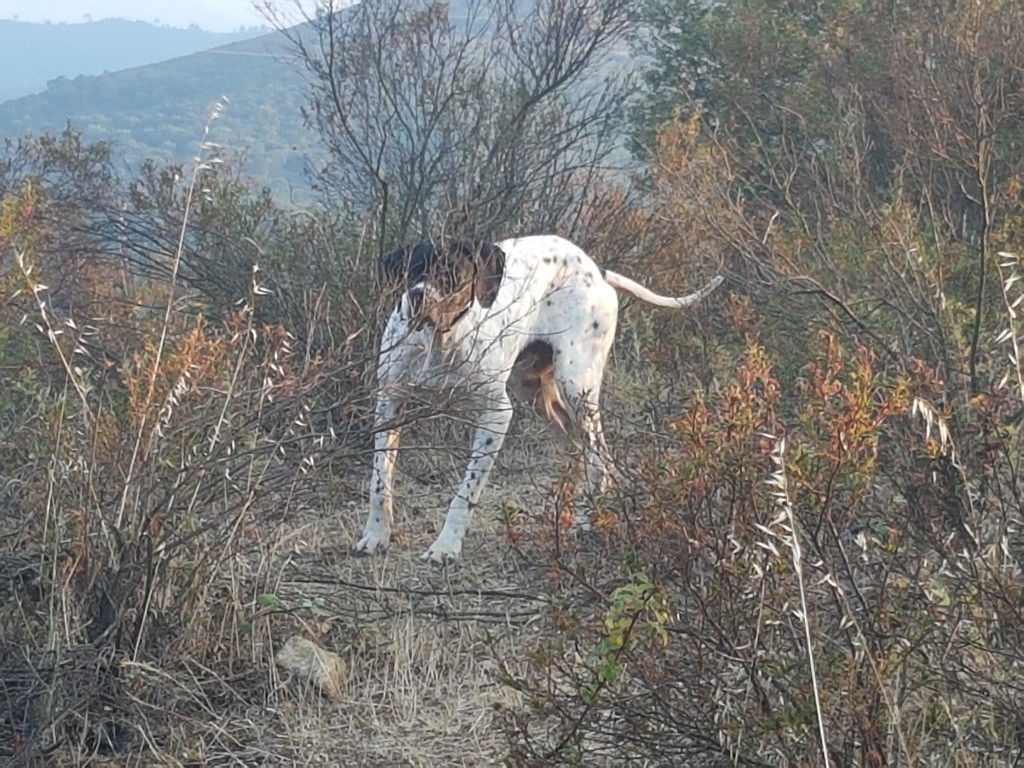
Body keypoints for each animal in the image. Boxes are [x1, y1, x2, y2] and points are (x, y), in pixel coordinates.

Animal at [356, 234, 724, 565]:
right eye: (411, 270)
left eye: (450, 272)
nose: (416, 297)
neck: (438, 342)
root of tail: (596, 271)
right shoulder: (389, 404)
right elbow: (379, 482)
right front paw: (375, 535)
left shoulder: (496, 415)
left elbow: (465, 493)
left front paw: (446, 546)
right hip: (535, 392)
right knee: (585, 453)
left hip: (577, 387)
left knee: (599, 456)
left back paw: (586, 520)